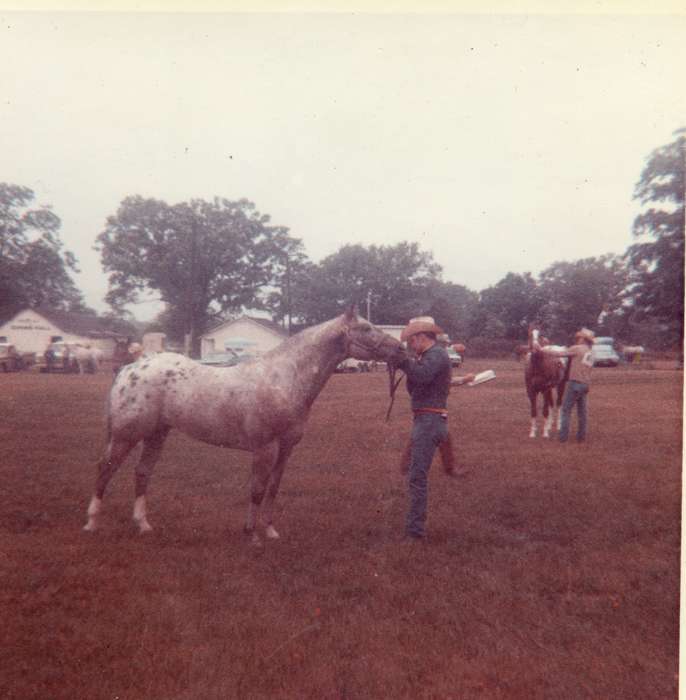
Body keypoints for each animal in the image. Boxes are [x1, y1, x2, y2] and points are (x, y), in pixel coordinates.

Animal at [83, 308, 406, 544]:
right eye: (366, 328)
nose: (401, 349)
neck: (284, 378)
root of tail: (130, 368)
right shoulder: (264, 447)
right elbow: (257, 489)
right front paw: (251, 536)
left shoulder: (286, 448)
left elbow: (274, 487)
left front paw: (270, 531)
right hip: (126, 435)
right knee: (105, 469)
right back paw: (92, 522)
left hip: (156, 434)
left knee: (142, 473)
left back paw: (144, 525)